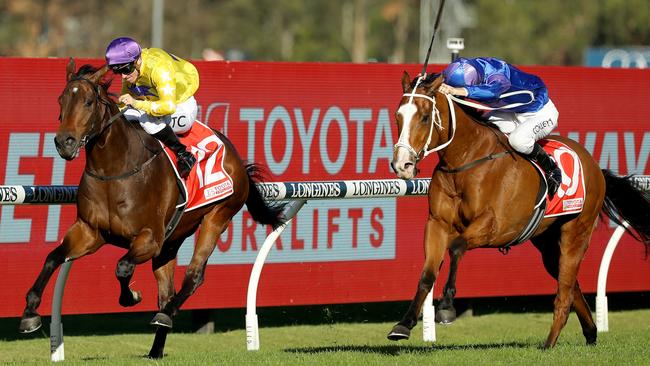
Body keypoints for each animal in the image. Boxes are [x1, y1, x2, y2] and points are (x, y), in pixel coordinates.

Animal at [17, 59, 284, 358]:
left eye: (87, 101)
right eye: (61, 99)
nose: (65, 142)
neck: (114, 170)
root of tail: (234, 154)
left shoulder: (149, 238)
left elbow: (122, 267)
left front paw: (131, 296)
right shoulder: (89, 232)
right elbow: (53, 258)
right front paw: (29, 314)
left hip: (218, 216)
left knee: (194, 275)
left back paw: (167, 314)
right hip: (172, 239)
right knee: (166, 292)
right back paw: (156, 348)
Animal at [388, 71, 644, 348]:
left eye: (425, 117)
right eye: (398, 116)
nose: (402, 165)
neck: (465, 160)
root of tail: (595, 165)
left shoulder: (497, 227)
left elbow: (456, 247)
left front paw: (446, 307)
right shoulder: (437, 224)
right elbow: (427, 274)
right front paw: (403, 325)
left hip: (576, 233)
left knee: (564, 292)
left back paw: (549, 344)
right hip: (546, 243)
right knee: (570, 284)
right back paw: (590, 332)